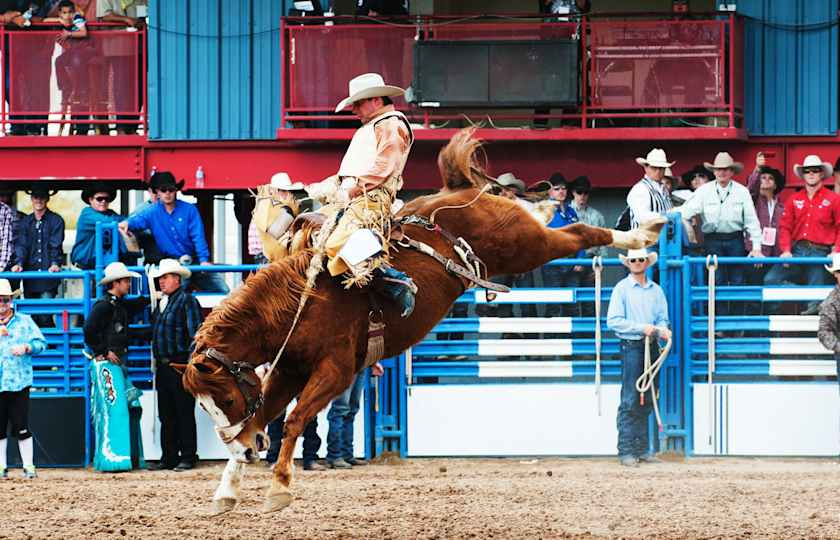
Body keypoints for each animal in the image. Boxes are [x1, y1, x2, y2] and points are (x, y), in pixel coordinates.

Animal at [179, 128, 665, 514]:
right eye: (204, 405)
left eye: (224, 396)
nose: (244, 449)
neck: (302, 302)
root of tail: (456, 193)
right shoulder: (286, 371)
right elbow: (265, 418)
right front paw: (226, 492)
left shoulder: (336, 371)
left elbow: (295, 420)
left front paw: (278, 488)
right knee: (550, 221)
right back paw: (563, 211)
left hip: (524, 246)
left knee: (577, 234)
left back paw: (642, 233)